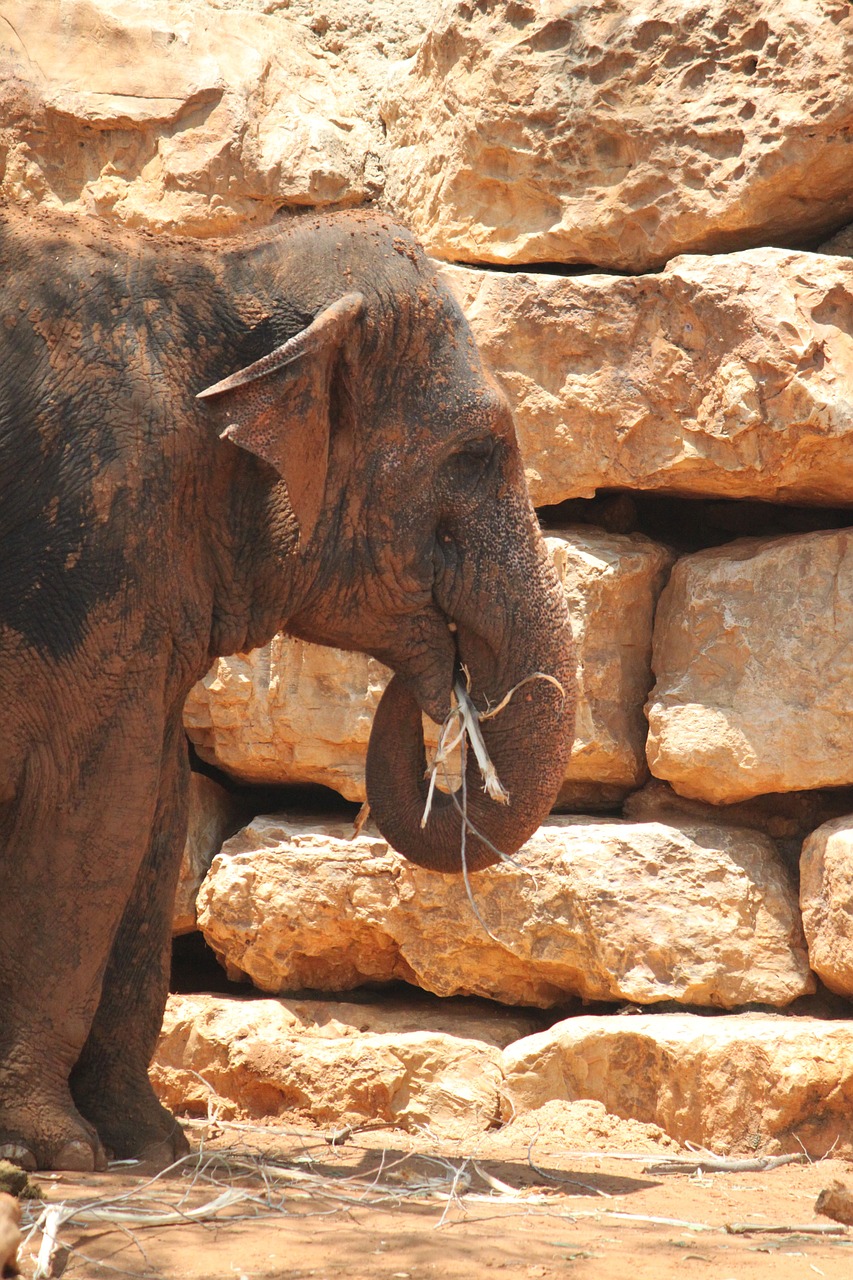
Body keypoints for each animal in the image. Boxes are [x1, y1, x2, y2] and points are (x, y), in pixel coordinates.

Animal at [0, 199, 573, 1172]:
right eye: (476, 452)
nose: (437, 674)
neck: (218, 267)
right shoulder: (96, 543)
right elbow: (96, 812)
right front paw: (56, 1152)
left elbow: (155, 814)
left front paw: (152, 1147)